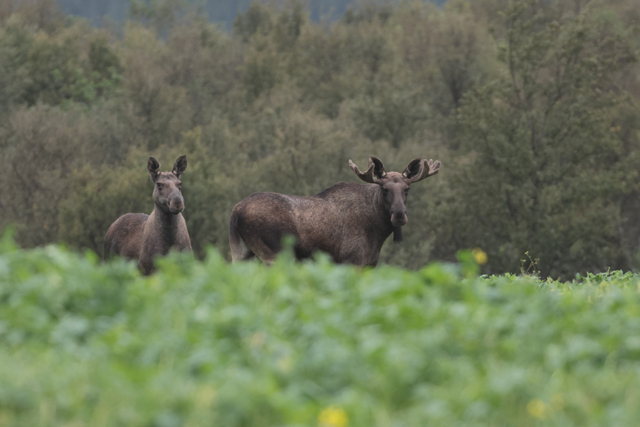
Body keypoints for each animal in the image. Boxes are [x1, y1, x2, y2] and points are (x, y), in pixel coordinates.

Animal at [229, 155, 440, 266]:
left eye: (407, 189)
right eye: (384, 189)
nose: (399, 215)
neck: (378, 232)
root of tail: (235, 212)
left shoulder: (370, 265)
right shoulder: (352, 261)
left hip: (242, 255)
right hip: (274, 255)